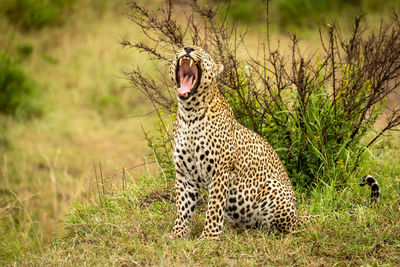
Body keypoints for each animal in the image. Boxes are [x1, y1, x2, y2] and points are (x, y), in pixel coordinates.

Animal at [168, 46, 378, 241]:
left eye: (203, 51)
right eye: (183, 46)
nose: (188, 48)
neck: (189, 114)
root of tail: (298, 214)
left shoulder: (220, 172)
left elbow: (213, 208)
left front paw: (208, 238)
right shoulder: (184, 174)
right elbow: (183, 207)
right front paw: (177, 234)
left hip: (272, 189)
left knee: (284, 228)